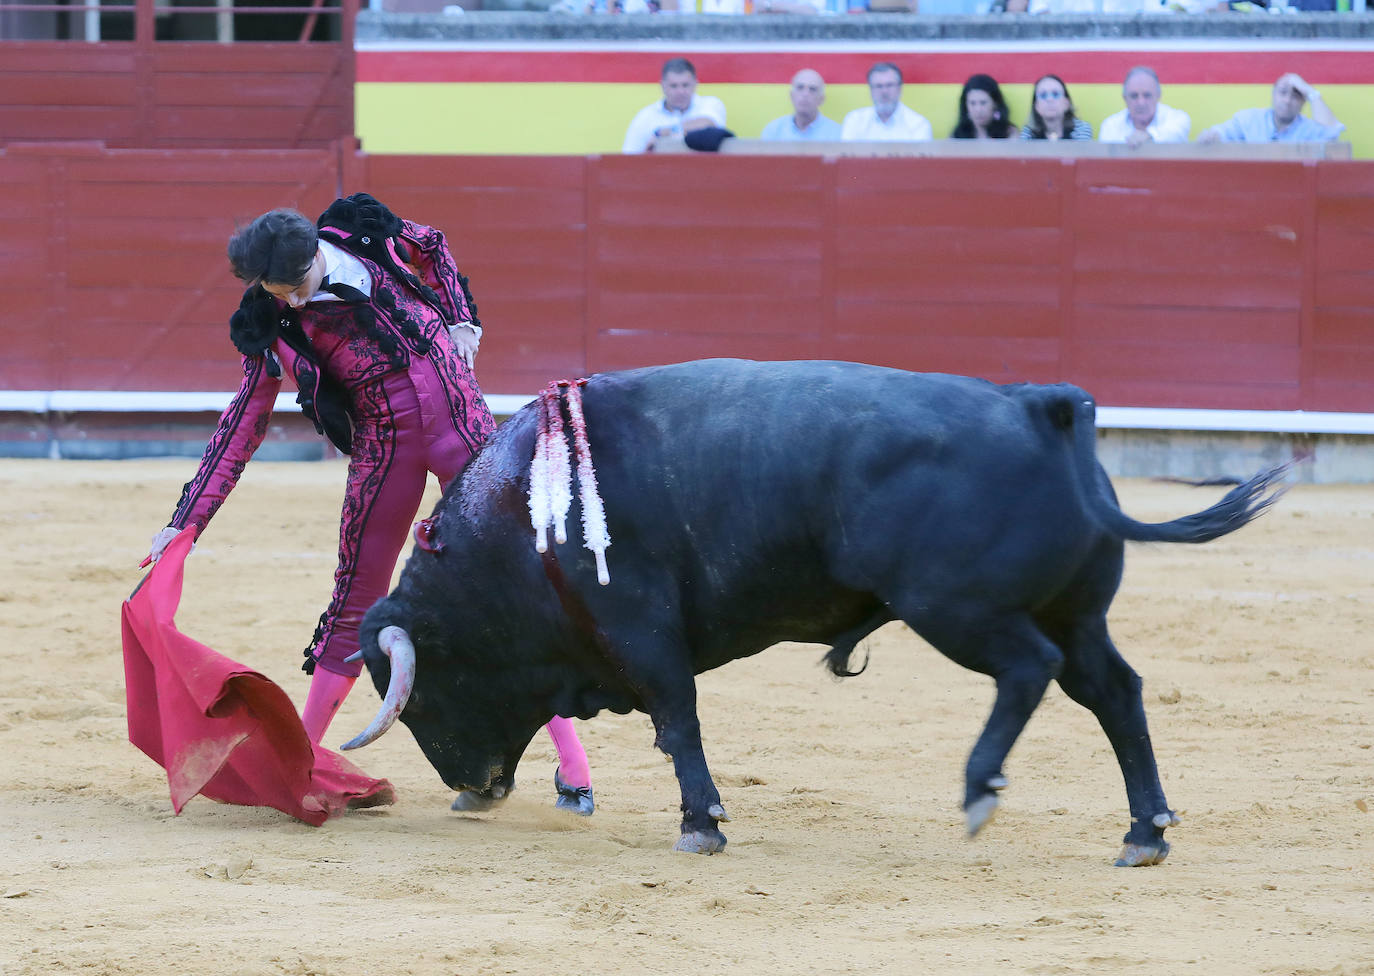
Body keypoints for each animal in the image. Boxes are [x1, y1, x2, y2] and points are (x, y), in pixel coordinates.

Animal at [346, 362, 1286, 868]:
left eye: (420, 699)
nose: (472, 791)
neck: (525, 516)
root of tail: (1037, 403)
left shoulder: (642, 626)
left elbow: (677, 719)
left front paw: (701, 825)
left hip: (958, 608)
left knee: (1031, 671)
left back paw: (980, 790)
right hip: (1074, 612)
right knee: (1115, 692)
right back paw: (1144, 833)